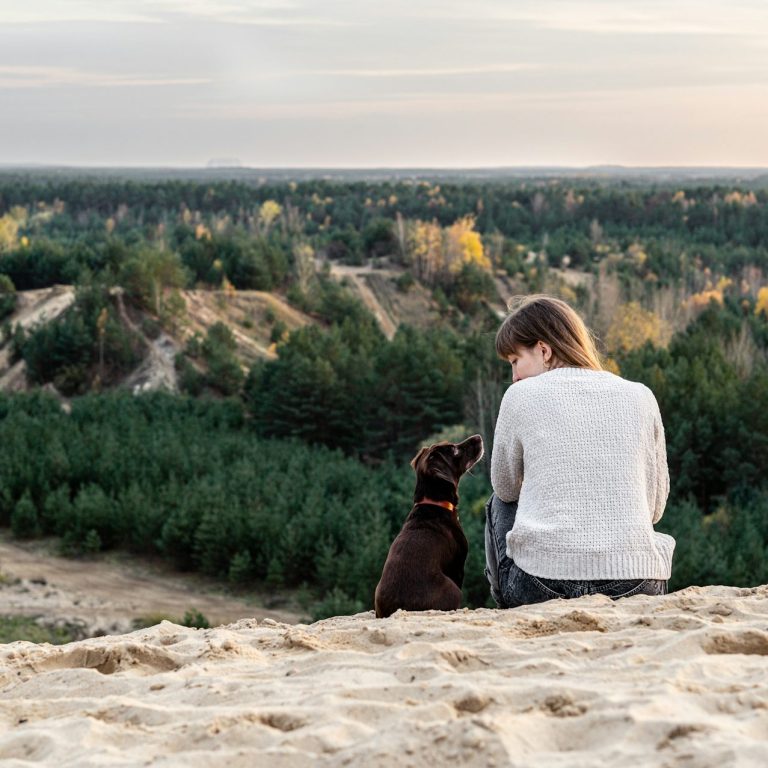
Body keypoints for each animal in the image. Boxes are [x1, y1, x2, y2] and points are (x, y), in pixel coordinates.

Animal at [374, 436, 486, 620]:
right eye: (454, 450)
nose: (478, 437)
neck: (434, 502)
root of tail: (398, 610)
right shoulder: (457, 565)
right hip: (452, 589)